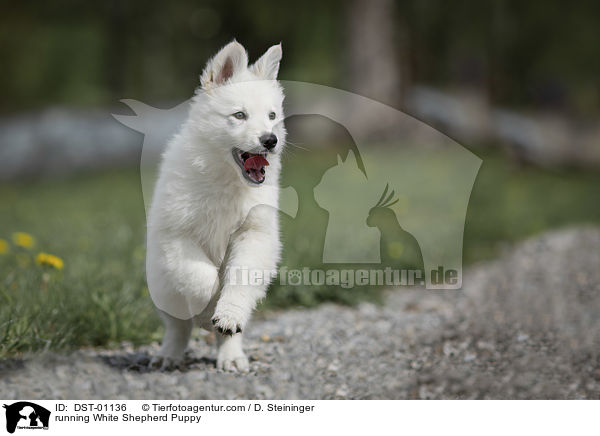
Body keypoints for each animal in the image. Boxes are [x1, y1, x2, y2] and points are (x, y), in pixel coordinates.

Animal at [146, 41, 286, 372]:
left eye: (272, 115)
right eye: (239, 115)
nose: (270, 140)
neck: (227, 180)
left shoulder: (254, 236)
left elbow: (239, 279)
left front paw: (224, 313)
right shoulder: (177, 236)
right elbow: (201, 277)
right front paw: (205, 305)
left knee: (230, 331)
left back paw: (231, 355)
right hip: (161, 285)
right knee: (177, 327)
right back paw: (168, 354)